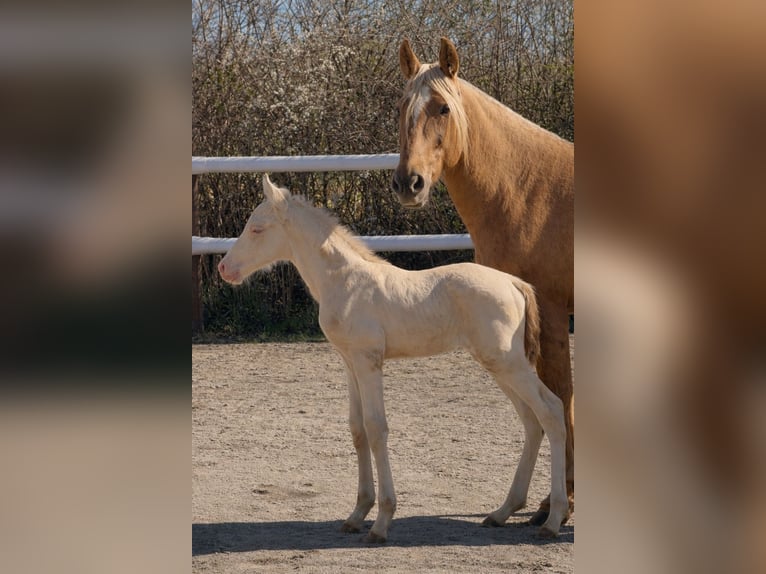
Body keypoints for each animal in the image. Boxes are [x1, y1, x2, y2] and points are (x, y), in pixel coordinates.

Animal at [218, 174, 569, 542]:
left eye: (257, 228)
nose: (224, 268)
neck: (345, 282)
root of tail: (514, 282)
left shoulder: (369, 361)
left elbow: (376, 428)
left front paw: (381, 522)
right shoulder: (350, 363)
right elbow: (357, 429)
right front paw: (357, 514)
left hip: (509, 364)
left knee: (551, 410)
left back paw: (553, 519)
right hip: (499, 366)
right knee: (531, 422)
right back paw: (503, 512)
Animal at [392, 37, 575, 525]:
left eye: (442, 108)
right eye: (402, 107)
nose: (409, 183)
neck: (531, 192)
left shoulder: (552, 314)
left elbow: (562, 396)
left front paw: (560, 505)